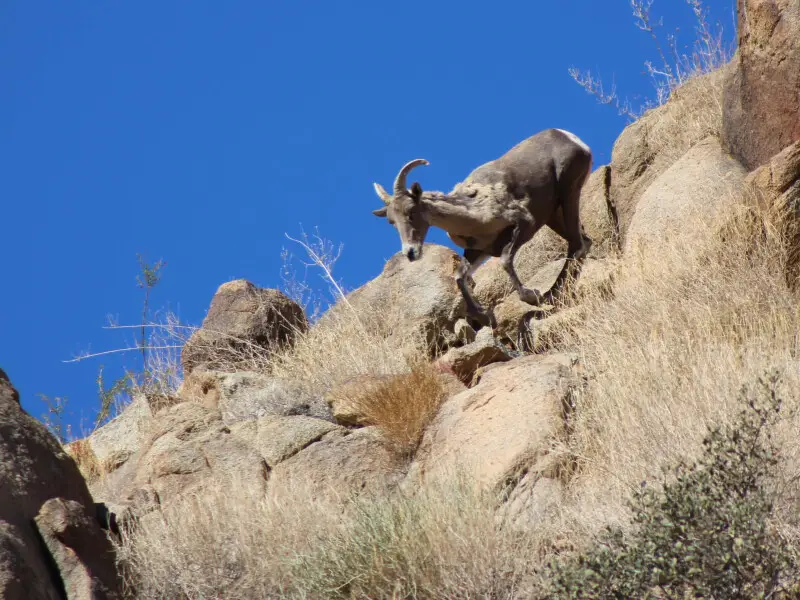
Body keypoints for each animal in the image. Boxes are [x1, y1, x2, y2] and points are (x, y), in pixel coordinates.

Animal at [372, 127, 592, 328]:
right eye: (392, 221)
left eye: (411, 212)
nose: (410, 252)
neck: (473, 213)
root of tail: (571, 138)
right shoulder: (478, 251)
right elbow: (460, 277)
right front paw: (483, 316)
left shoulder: (524, 224)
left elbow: (505, 260)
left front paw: (532, 296)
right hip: (554, 215)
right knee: (583, 243)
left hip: (569, 192)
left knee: (577, 244)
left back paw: (552, 295)